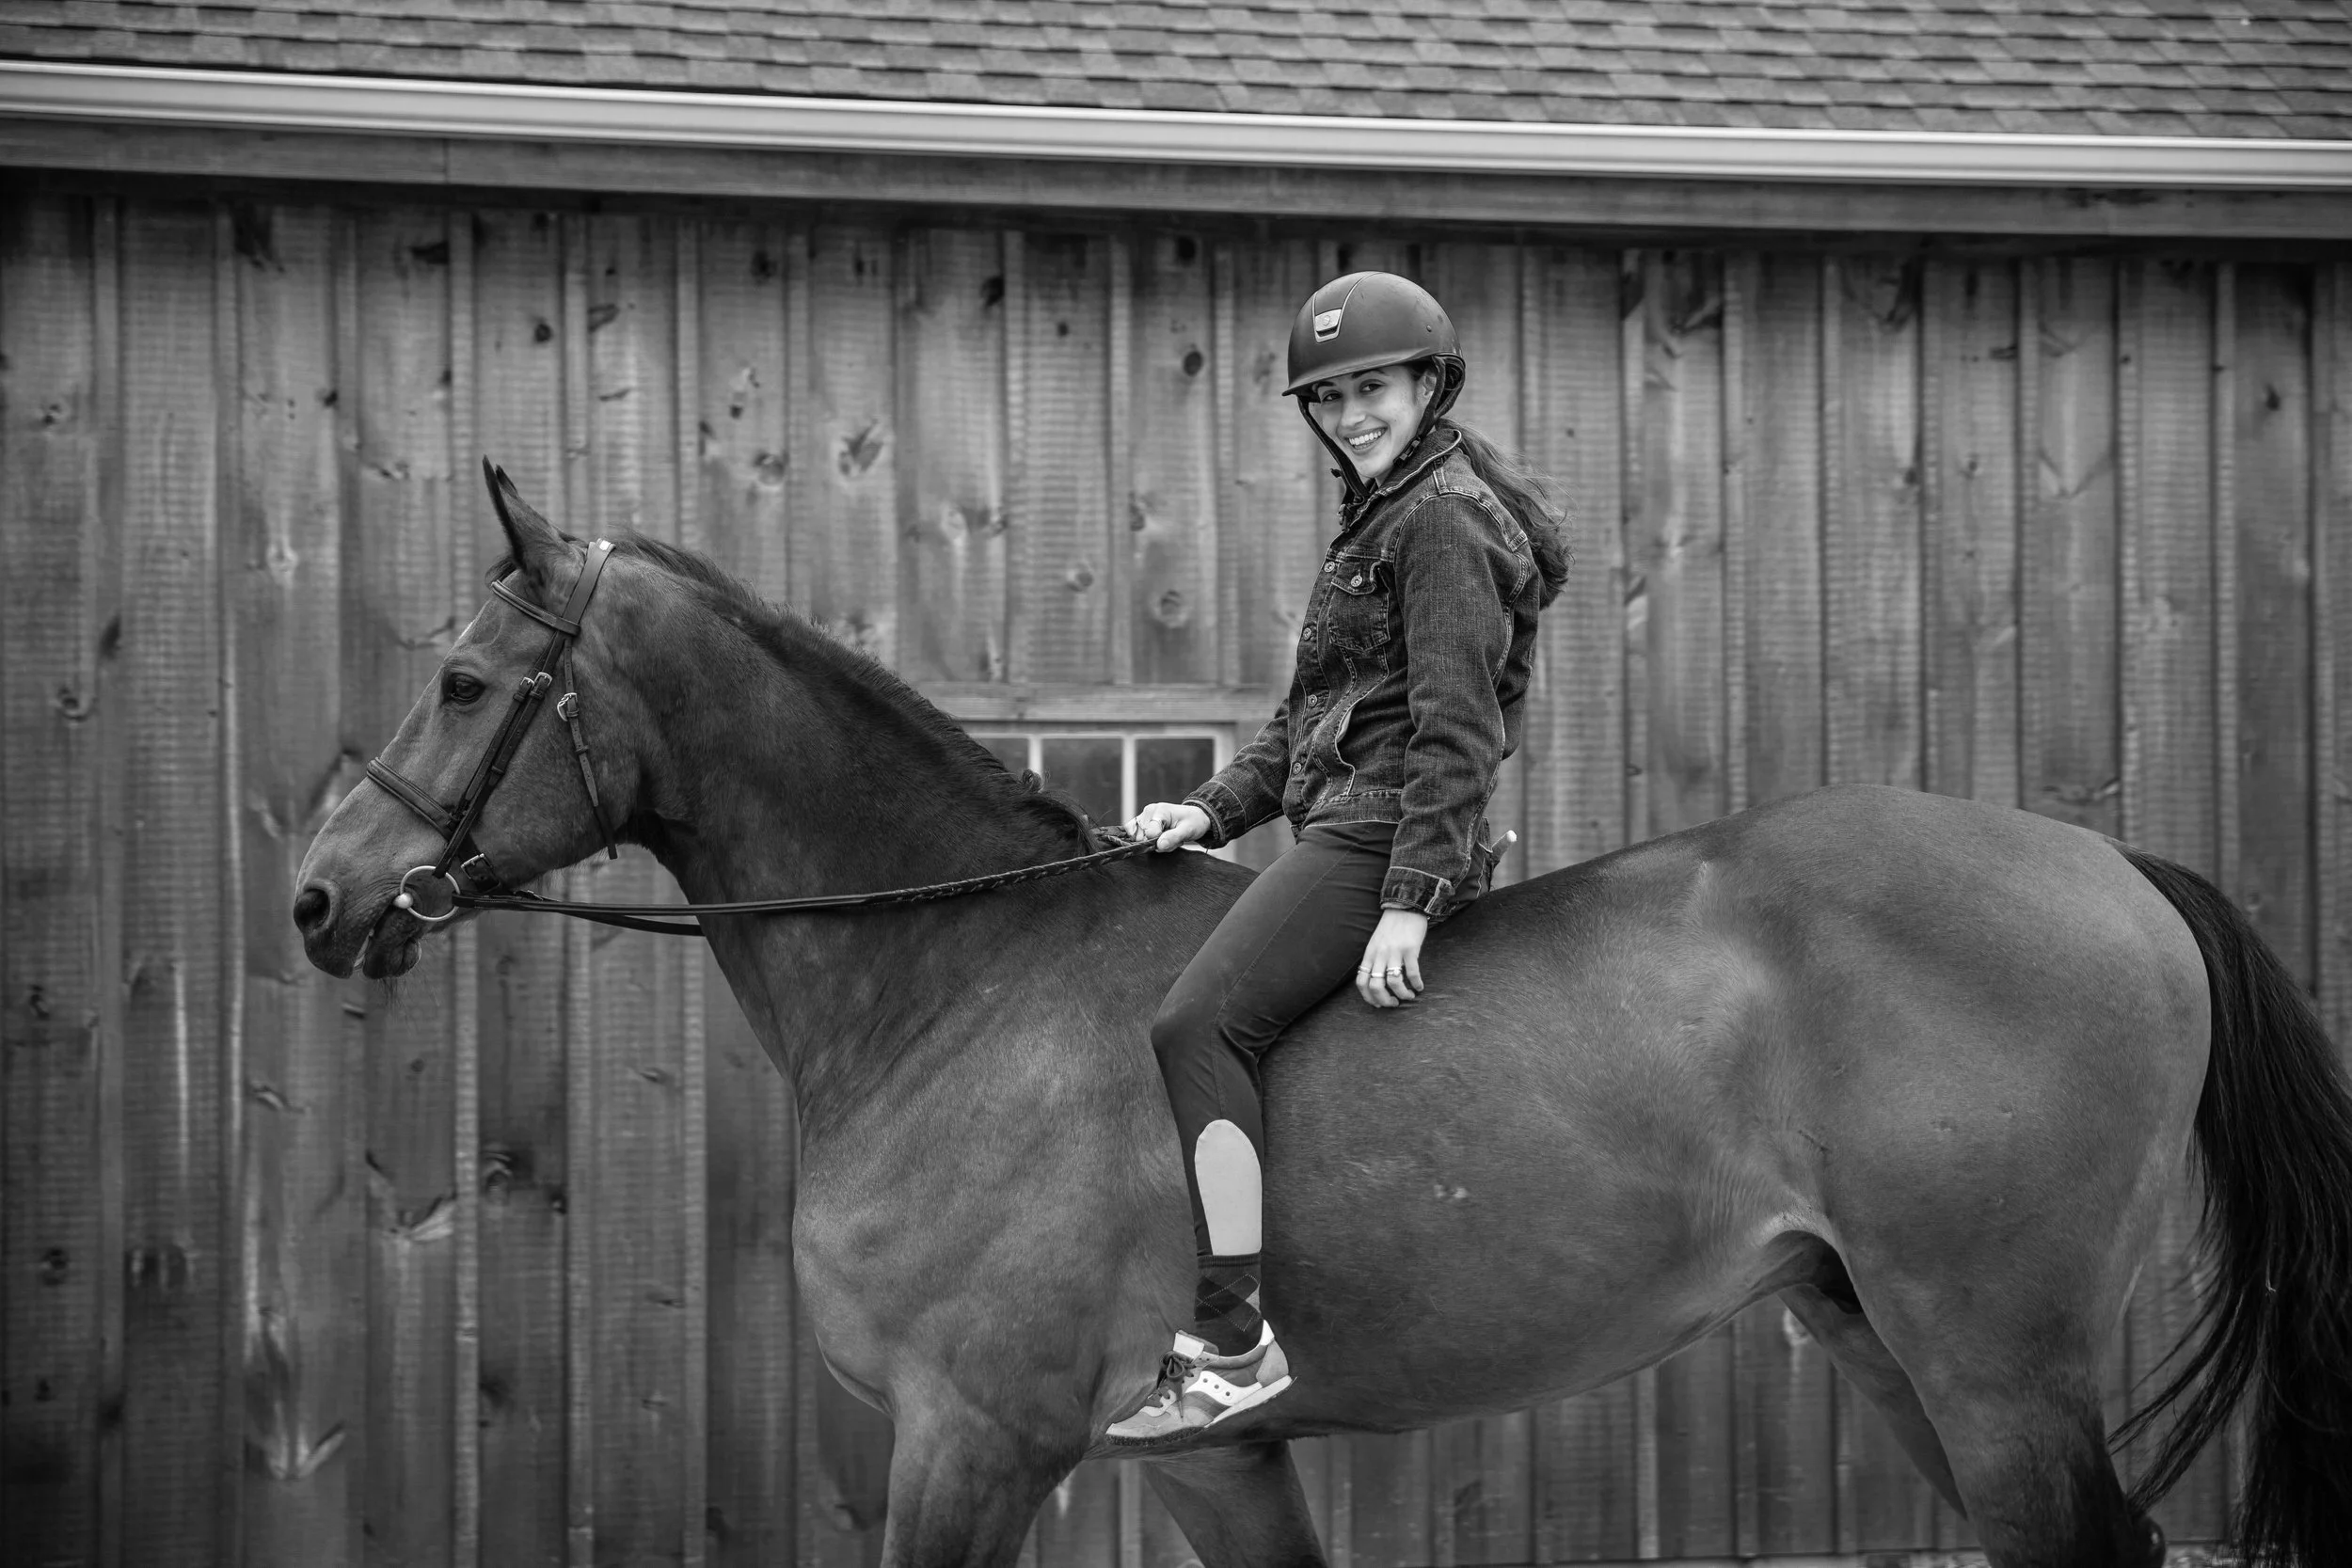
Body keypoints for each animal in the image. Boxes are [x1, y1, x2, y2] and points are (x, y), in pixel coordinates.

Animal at [293, 464, 2352, 1568]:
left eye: (463, 680)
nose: (320, 893)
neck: (959, 983)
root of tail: (2110, 868)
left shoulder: (971, 1438)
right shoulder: (1212, 1461)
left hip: (1991, 1358)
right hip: (1889, 1341)